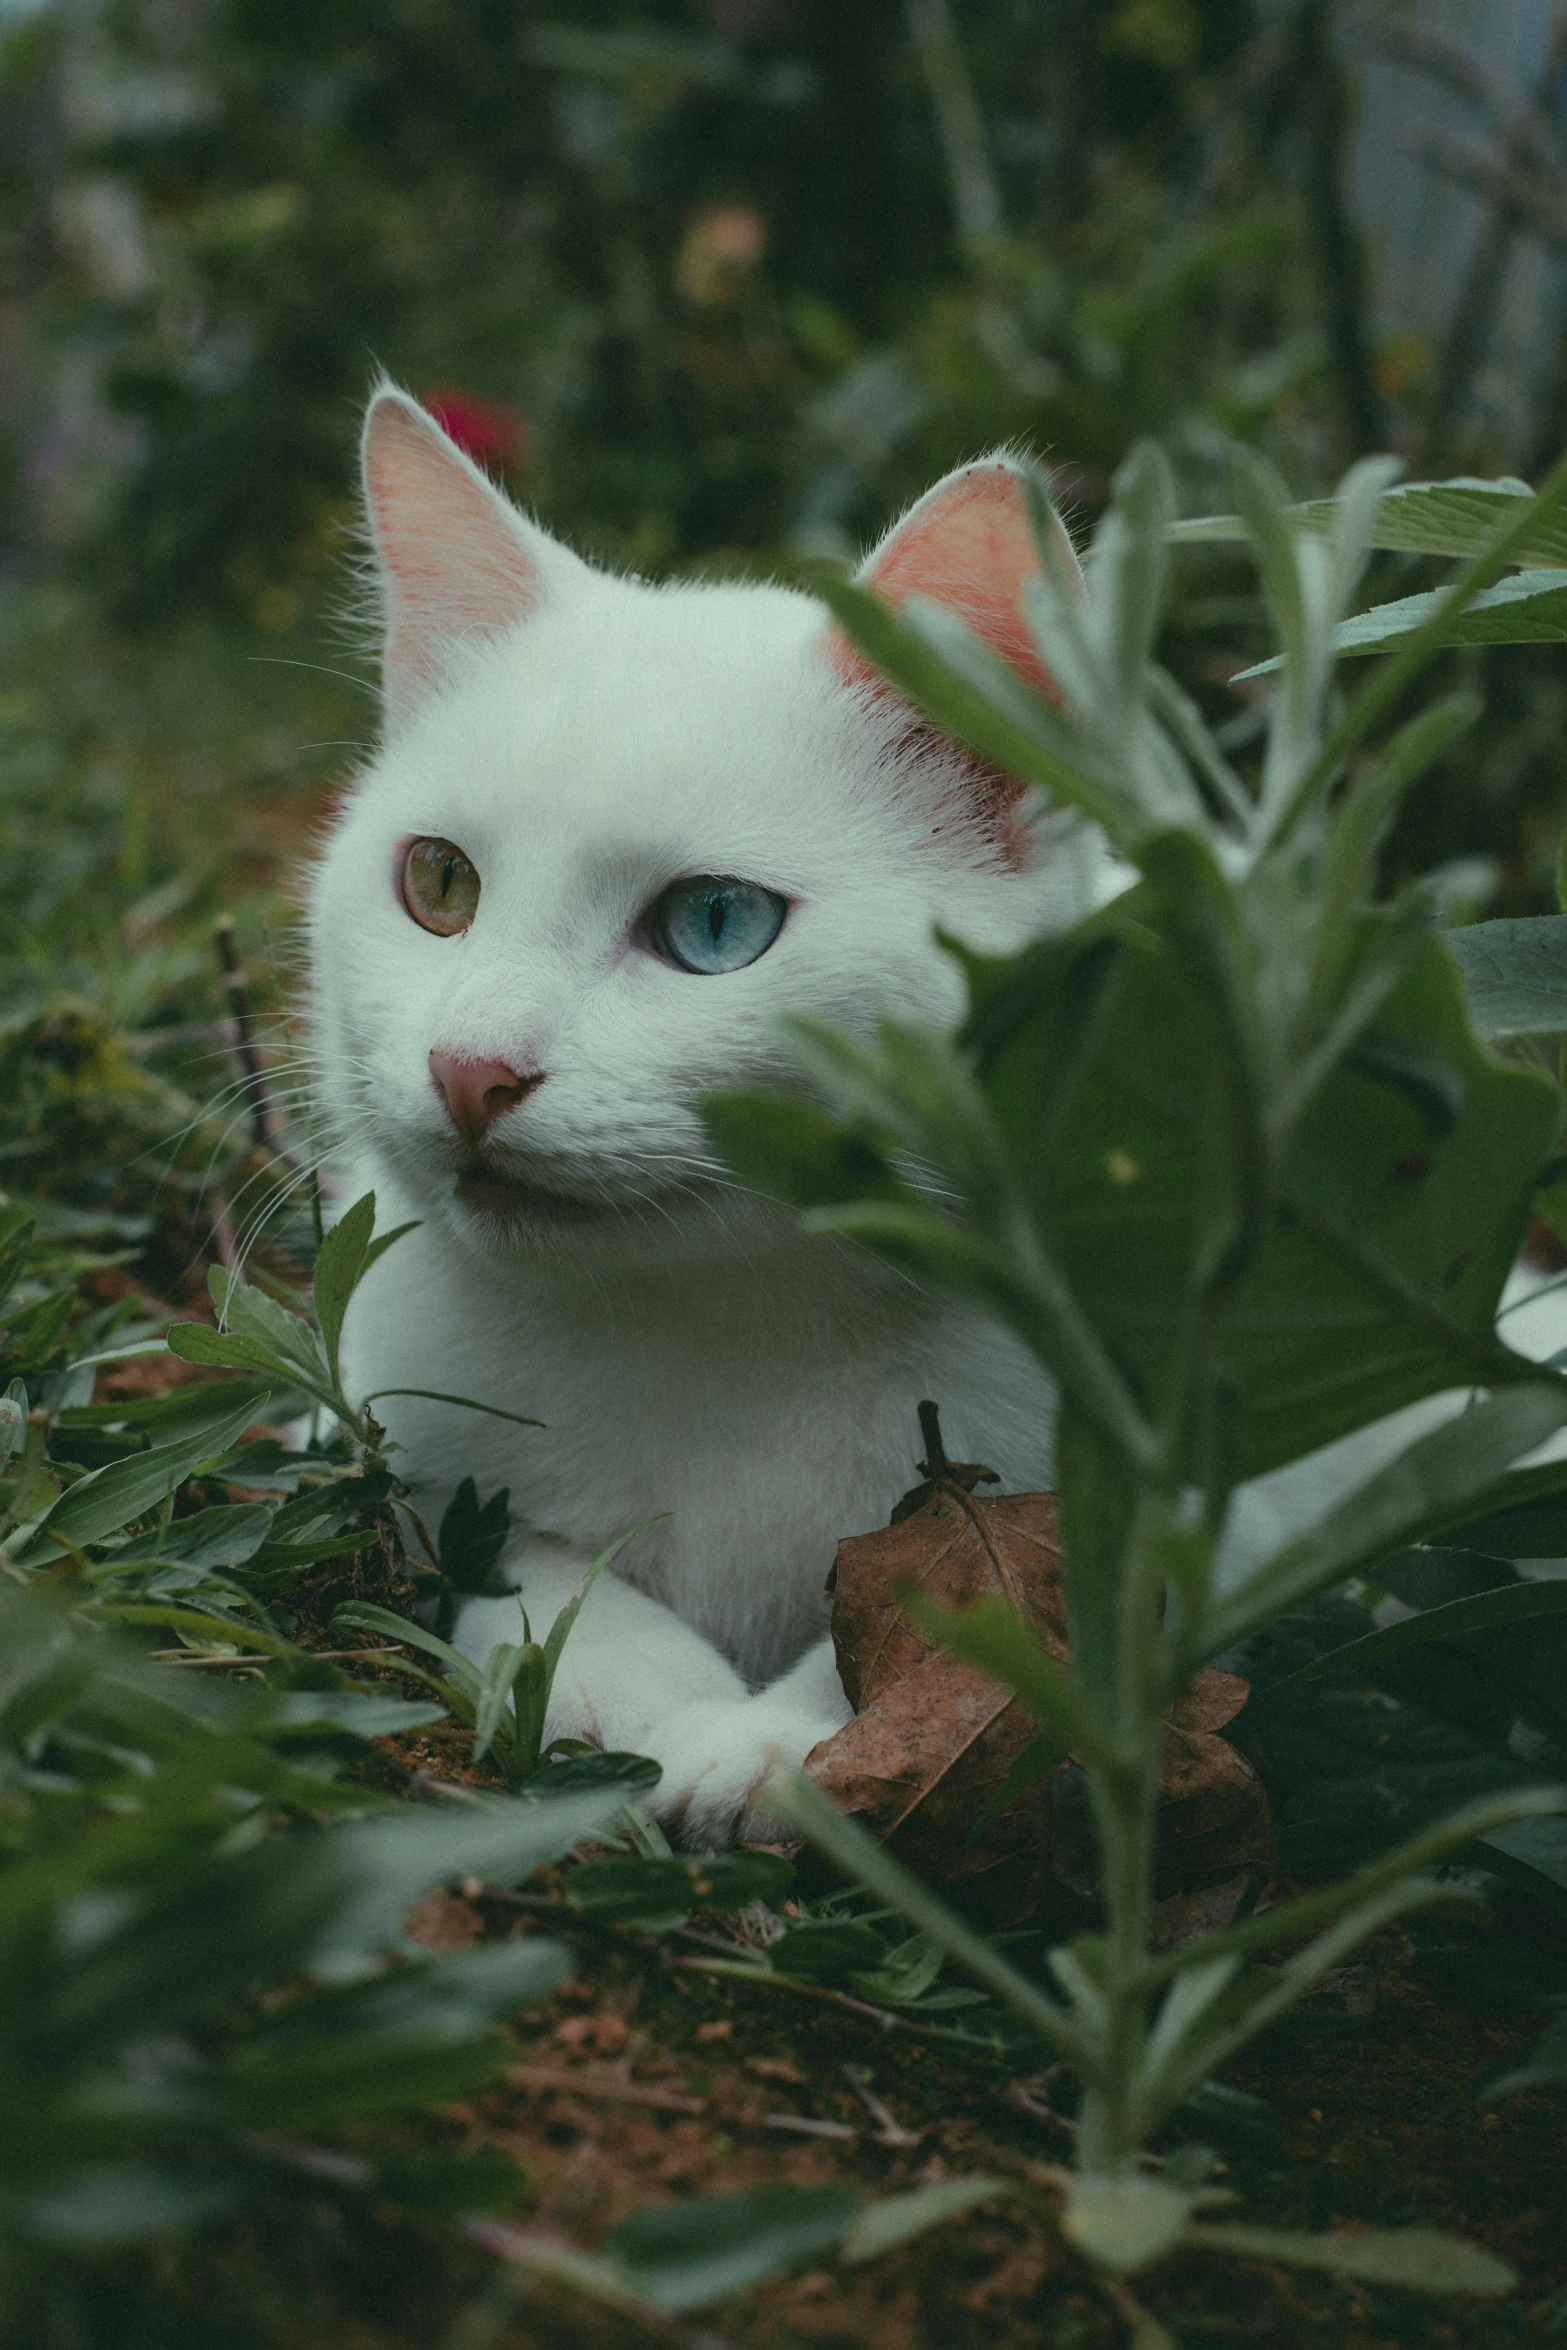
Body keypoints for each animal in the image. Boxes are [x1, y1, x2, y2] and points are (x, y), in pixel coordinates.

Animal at [310, 390, 1113, 1851]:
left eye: (715, 924)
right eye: (438, 884)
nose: (468, 1068)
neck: (724, 1324)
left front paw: (777, 1746)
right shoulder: (419, 1473)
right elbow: (544, 1584)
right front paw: (654, 1708)